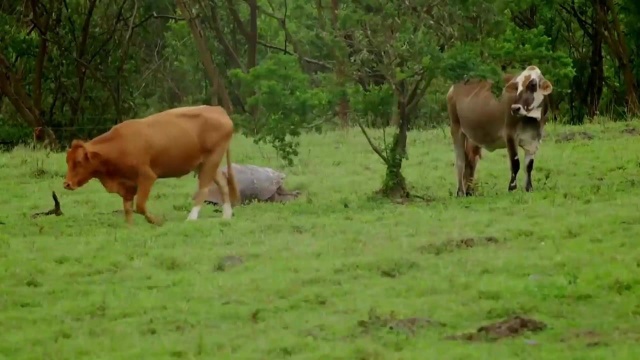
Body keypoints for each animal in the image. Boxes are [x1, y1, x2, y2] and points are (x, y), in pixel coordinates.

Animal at [444, 65, 556, 197]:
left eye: (533, 84)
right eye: (517, 86)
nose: (515, 108)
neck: (531, 120)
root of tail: (455, 87)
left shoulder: (534, 139)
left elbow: (529, 165)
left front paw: (529, 188)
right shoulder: (510, 134)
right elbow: (515, 163)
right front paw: (512, 187)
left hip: (473, 136)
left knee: (470, 161)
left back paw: (470, 191)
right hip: (456, 128)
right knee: (460, 161)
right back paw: (460, 192)